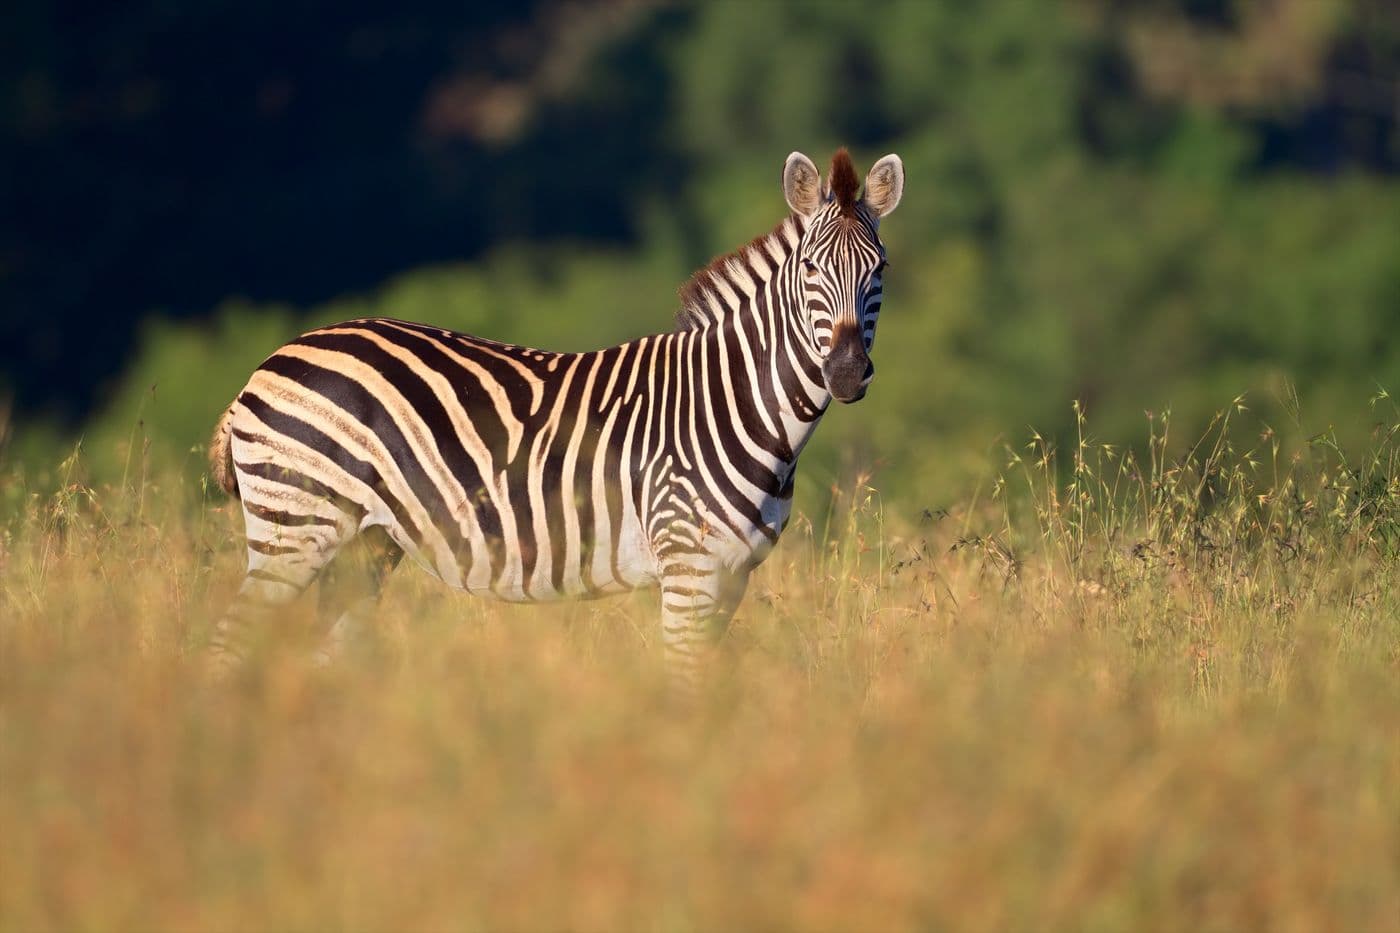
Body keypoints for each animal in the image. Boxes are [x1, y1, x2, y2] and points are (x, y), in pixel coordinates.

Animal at [206, 148, 903, 689]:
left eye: (880, 271)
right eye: (809, 268)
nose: (846, 374)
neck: (735, 402)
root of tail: (270, 362)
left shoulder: (731, 575)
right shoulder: (688, 567)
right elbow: (684, 687)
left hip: (361, 547)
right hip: (295, 527)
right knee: (230, 645)